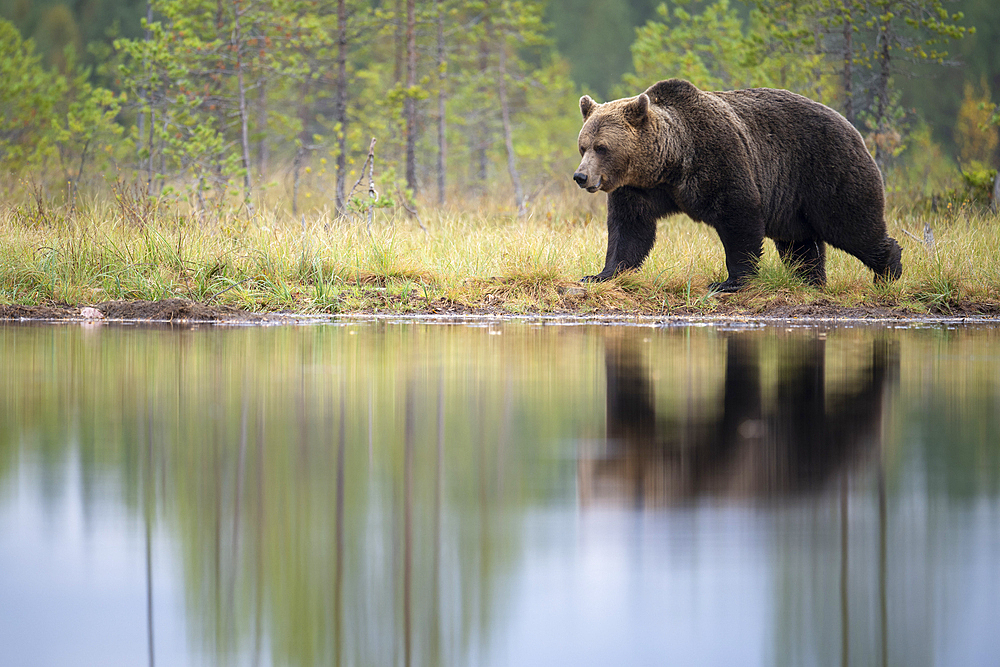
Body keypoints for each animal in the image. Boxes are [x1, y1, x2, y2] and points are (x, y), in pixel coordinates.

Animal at [572, 79, 908, 292]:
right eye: (583, 146)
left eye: (602, 147)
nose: (581, 177)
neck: (669, 164)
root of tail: (853, 128)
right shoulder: (637, 189)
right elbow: (629, 230)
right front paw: (599, 274)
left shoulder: (719, 159)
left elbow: (739, 217)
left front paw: (729, 282)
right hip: (792, 202)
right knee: (800, 243)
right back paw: (810, 280)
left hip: (826, 171)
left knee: (851, 224)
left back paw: (888, 271)